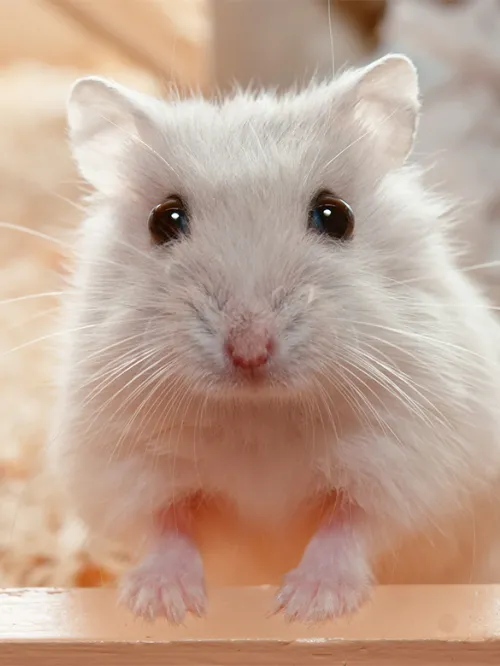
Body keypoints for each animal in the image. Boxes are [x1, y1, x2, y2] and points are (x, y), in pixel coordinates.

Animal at [50, 54, 500, 624]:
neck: (259, 415)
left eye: (335, 215)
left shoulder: (409, 462)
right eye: (163, 219)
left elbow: (350, 525)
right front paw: (164, 606)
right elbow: (165, 525)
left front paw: (308, 607)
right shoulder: (123, 466)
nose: (249, 350)